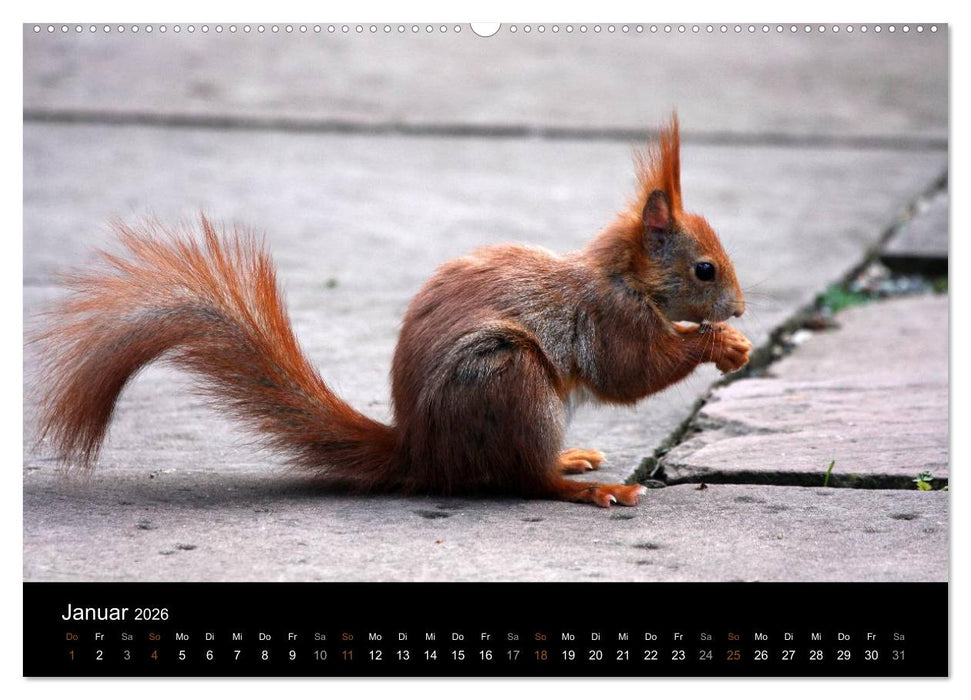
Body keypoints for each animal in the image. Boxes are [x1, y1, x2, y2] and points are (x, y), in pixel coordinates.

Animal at [33, 113, 751, 508]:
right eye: (704, 269)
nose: (741, 310)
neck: (622, 277)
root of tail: (421, 452)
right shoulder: (608, 320)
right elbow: (632, 372)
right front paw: (717, 344)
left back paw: (572, 461)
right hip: (507, 380)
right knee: (525, 479)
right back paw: (585, 486)